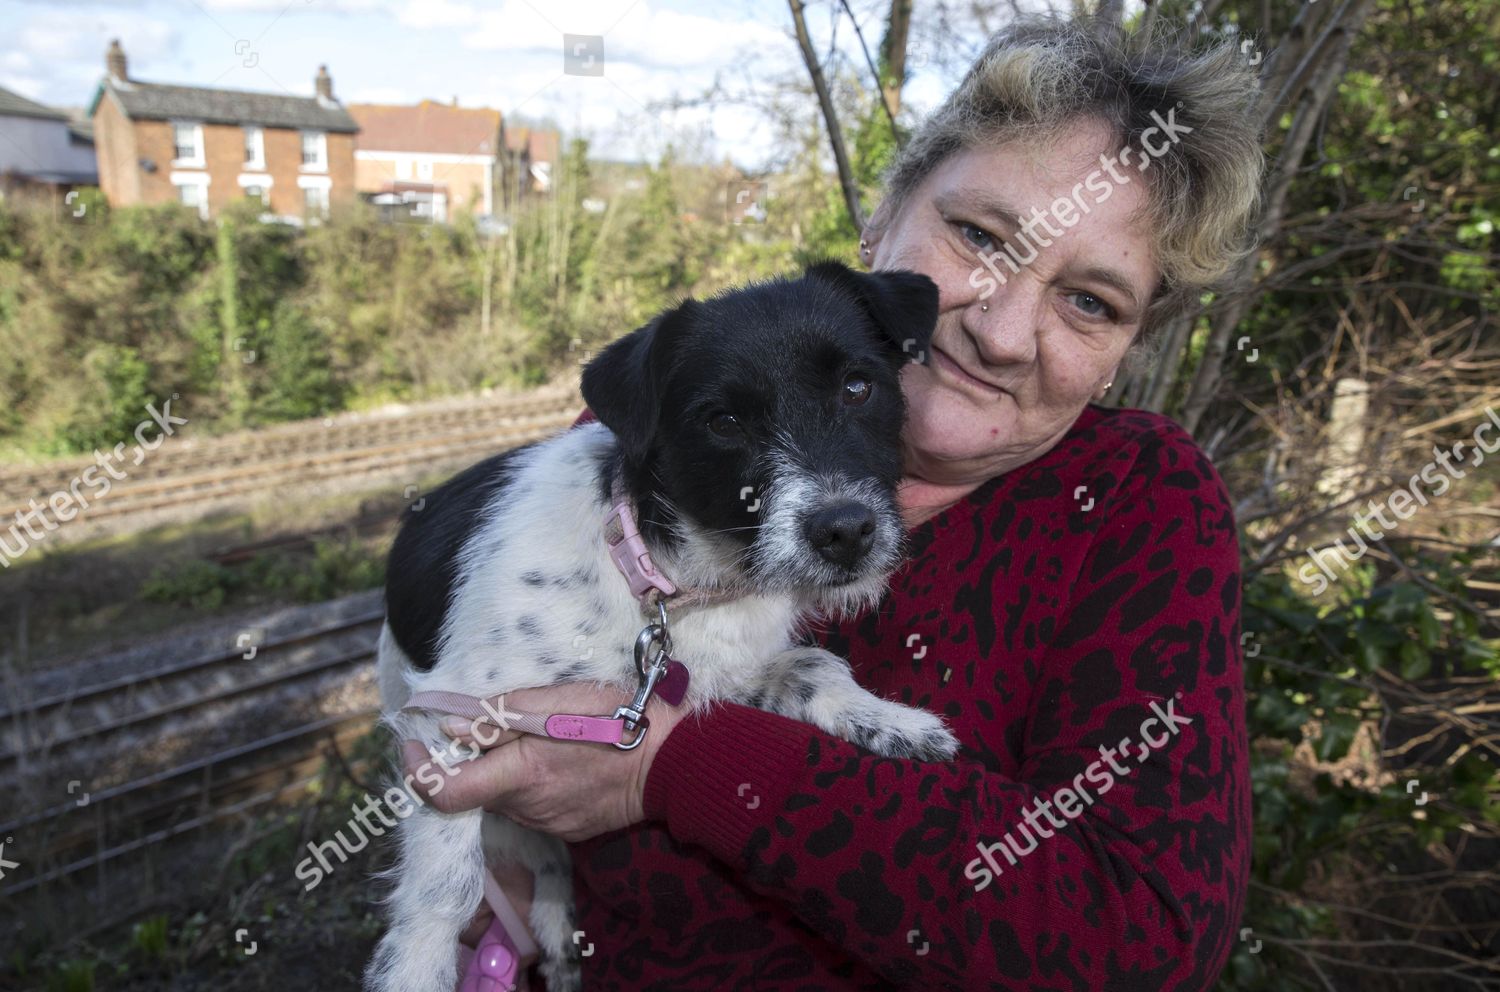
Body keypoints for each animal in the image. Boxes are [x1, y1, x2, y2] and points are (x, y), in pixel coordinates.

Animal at [369, 261, 966, 990]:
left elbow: (813, 667)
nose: (846, 531)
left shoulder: (715, 673)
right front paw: (417, 967)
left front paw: (889, 722)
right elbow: (446, 885)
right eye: (723, 421)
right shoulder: (449, 715)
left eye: (858, 386)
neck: (667, 579)